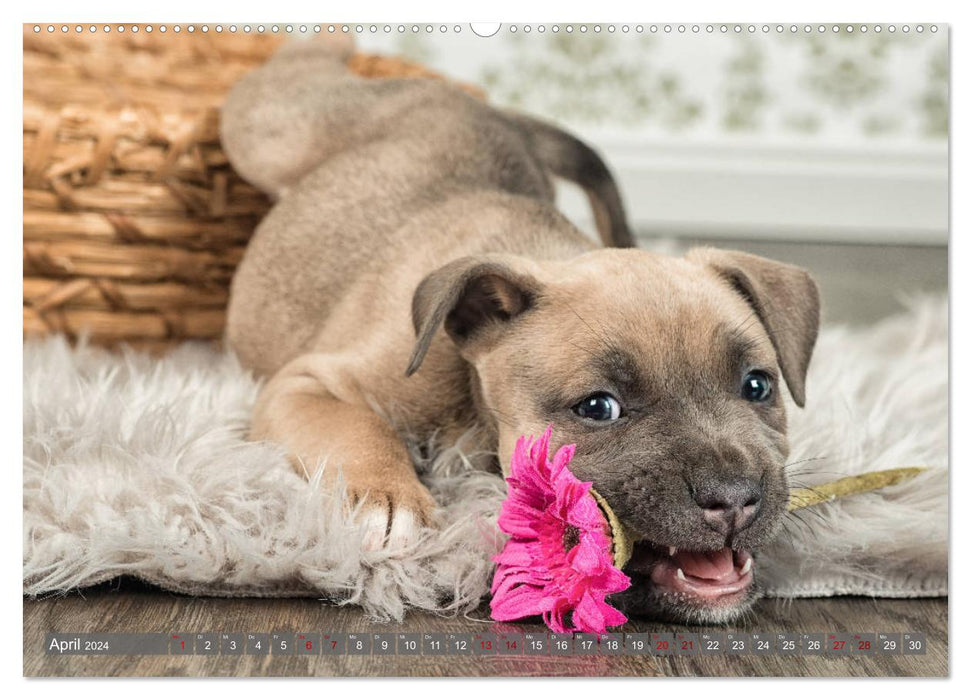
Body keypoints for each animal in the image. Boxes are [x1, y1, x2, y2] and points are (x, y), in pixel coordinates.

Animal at [222, 37, 820, 624]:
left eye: (758, 386)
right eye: (598, 408)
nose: (734, 498)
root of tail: (494, 112)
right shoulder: (304, 384)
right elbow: (359, 427)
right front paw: (389, 503)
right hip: (269, 126)